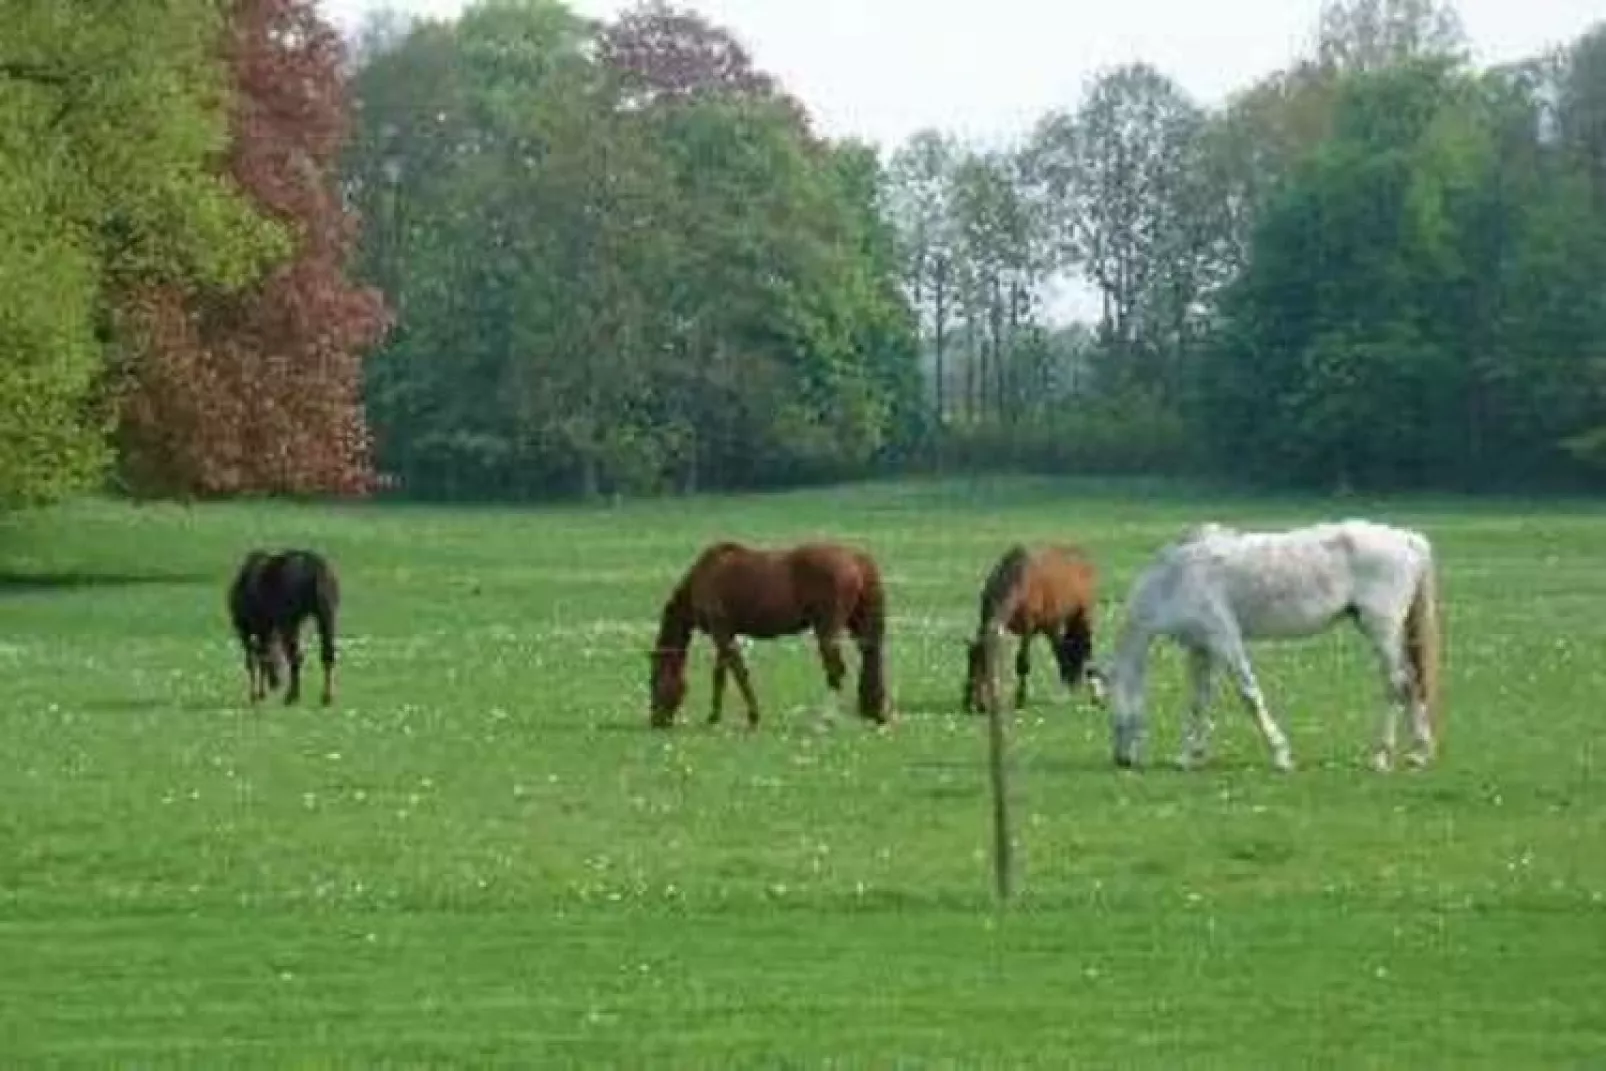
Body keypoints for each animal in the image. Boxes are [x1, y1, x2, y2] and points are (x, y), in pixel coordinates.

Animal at [228, 549, 340, 706]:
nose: (276, 682)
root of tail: (316, 570)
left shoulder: (245, 628)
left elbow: (254, 660)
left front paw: (256, 695)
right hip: (327, 614)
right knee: (327, 654)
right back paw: (326, 696)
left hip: (289, 621)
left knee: (295, 655)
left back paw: (291, 695)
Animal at [645, 539, 892, 732]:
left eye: (654, 680)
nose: (656, 720)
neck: (705, 574)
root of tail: (856, 559)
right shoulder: (725, 635)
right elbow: (721, 676)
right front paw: (714, 717)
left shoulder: (722, 633)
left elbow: (738, 674)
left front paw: (752, 717)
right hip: (858, 625)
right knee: (870, 658)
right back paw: (875, 712)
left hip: (827, 631)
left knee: (835, 671)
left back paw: (826, 720)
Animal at [957, 545, 1098, 712]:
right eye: (970, 663)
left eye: (985, 667)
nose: (972, 705)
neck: (1018, 581)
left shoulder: (1028, 630)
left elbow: (1023, 664)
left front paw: (1020, 700)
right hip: (1055, 623)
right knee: (1062, 648)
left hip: (1084, 616)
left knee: (1086, 648)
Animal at [1104, 517, 1445, 770]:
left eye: (1108, 708)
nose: (1122, 760)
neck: (1175, 578)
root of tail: (1409, 539)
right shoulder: (1201, 649)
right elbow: (1200, 701)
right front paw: (1189, 756)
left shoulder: (1225, 640)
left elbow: (1250, 695)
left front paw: (1280, 755)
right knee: (1413, 682)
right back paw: (1419, 753)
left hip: (1381, 630)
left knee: (1396, 684)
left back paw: (1381, 756)